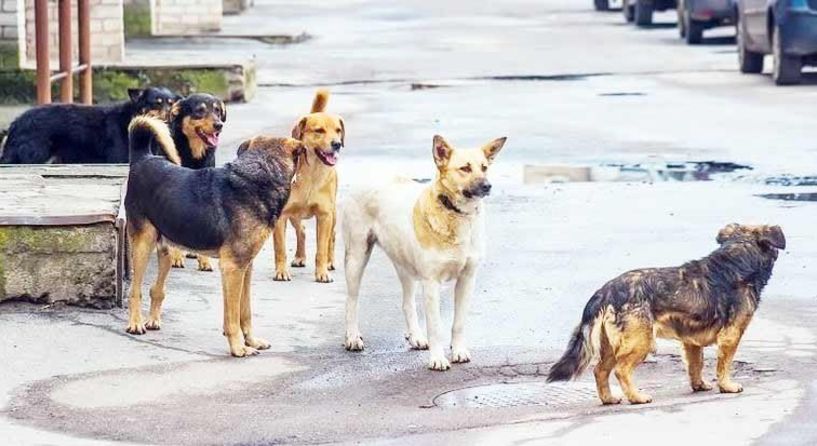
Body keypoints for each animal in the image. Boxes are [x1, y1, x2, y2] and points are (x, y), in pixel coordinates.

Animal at [0, 86, 178, 165]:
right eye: (156, 103)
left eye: (171, 103)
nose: (170, 116)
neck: (131, 118)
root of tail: (16, 122)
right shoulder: (118, 159)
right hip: (35, 155)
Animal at [126, 116, 304, 358]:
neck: (260, 174)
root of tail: (143, 158)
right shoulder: (233, 268)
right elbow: (232, 317)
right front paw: (238, 347)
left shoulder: (246, 266)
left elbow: (245, 311)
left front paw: (251, 341)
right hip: (143, 244)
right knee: (135, 290)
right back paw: (135, 324)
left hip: (166, 249)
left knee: (157, 289)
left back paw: (153, 320)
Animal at [338, 134, 504, 372]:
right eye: (465, 168)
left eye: (484, 167)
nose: (487, 186)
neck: (456, 214)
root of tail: (369, 175)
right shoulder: (431, 283)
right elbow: (435, 327)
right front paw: (437, 359)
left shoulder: (467, 279)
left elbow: (459, 323)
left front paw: (459, 351)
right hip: (356, 258)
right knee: (351, 301)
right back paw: (352, 337)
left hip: (404, 265)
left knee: (407, 303)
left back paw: (416, 336)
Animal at [548, 223, 784, 404]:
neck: (737, 257)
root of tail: (605, 291)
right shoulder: (731, 336)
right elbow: (724, 365)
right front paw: (727, 386)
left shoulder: (691, 341)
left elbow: (695, 365)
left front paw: (699, 385)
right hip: (641, 342)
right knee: (621, 370)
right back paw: (637, 397)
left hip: (610, 345)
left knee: (600, 371)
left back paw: (609, 399)